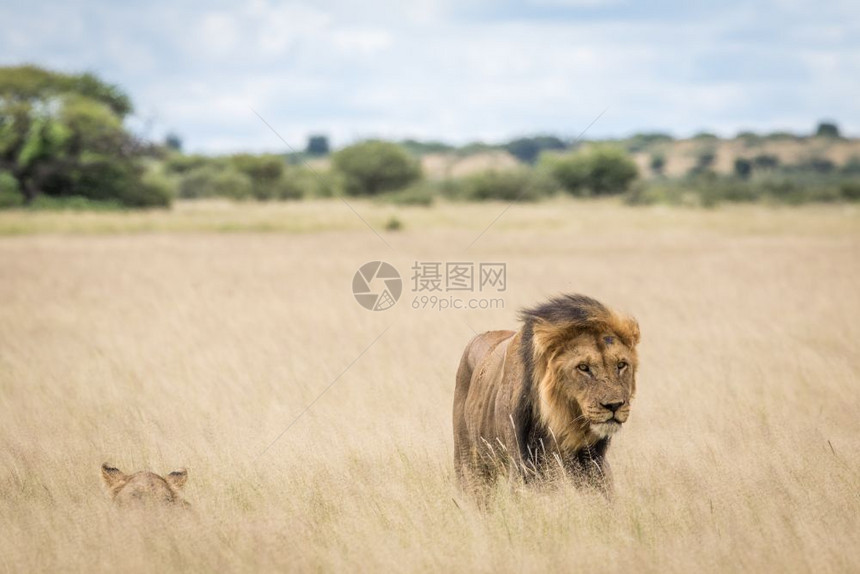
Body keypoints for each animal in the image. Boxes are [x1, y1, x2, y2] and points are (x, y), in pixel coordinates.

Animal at [450, 294, 640, 498]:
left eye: (621, 365)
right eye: (583, 367)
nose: (614, 405)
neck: (563, 423)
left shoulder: (593, 463)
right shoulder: (524, 466)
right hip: (469, 464)